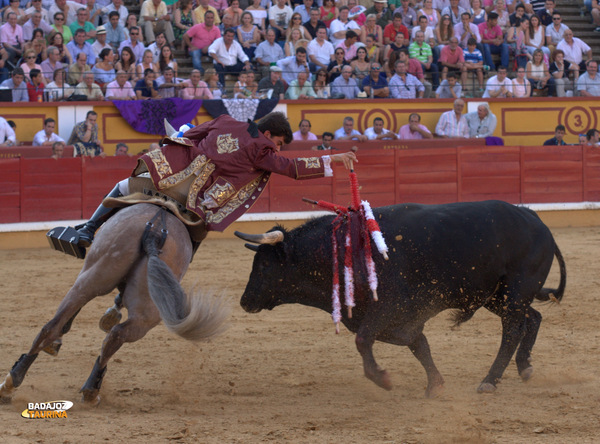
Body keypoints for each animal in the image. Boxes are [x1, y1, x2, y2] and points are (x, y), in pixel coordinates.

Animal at [236, 199, 568, 398]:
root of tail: (535, 218)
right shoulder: (399, 318)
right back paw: (524, 367)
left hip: (515, 292)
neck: (344, 250)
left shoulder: (387, 308)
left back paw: (490, 380)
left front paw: (383, 379)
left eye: (263, 265)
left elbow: (364, 341)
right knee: (532, 318)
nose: (244, 301)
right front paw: (436, 384)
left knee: (512, 330)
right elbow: (419, 345)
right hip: (496, 296)